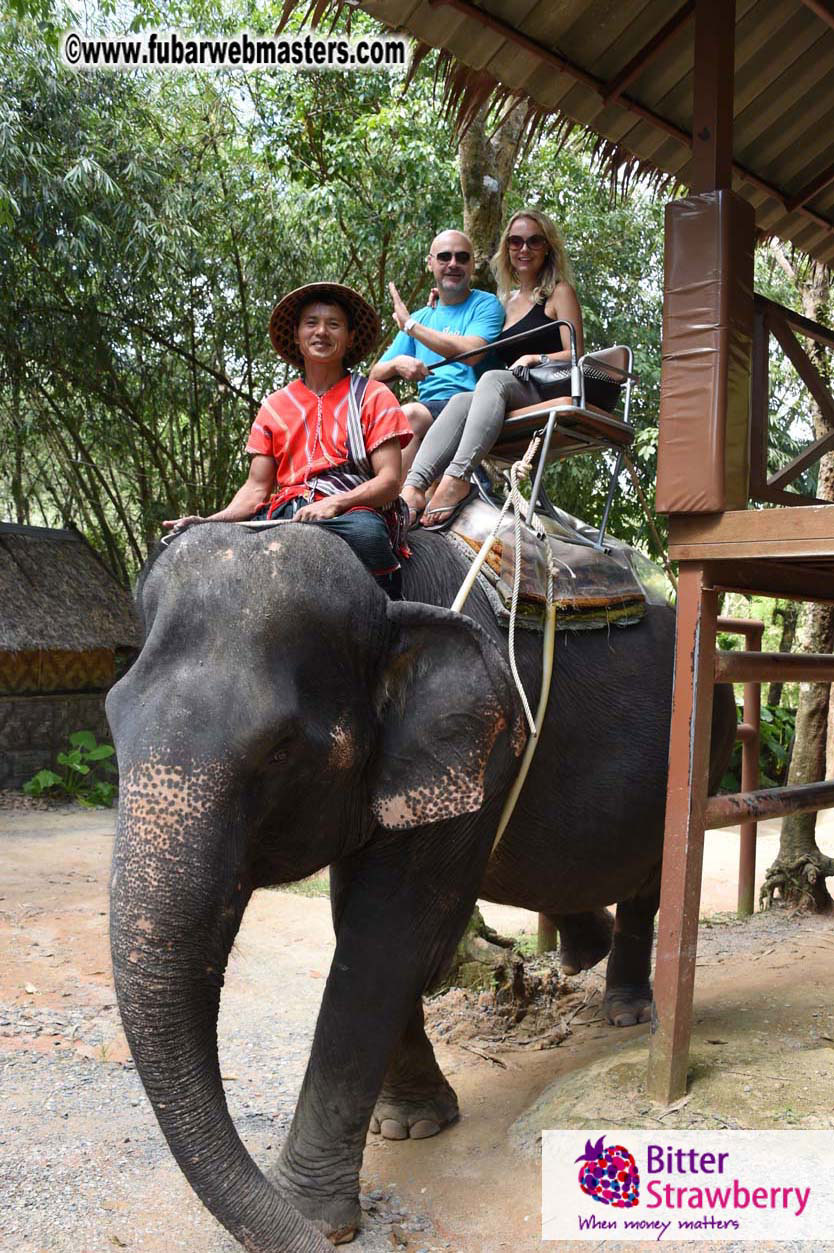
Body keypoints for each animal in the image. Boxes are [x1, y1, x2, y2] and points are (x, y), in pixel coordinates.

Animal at [106, 519, 736, 1252]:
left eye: (280, 751)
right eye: (112, 718)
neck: (385, 588)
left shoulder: (482, 749)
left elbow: (387, 936)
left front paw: (314, 1217)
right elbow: (358, 921)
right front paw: (412, 1126)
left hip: (708, 728)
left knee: (653, 874)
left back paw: (629, 1013)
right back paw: (584, 953)